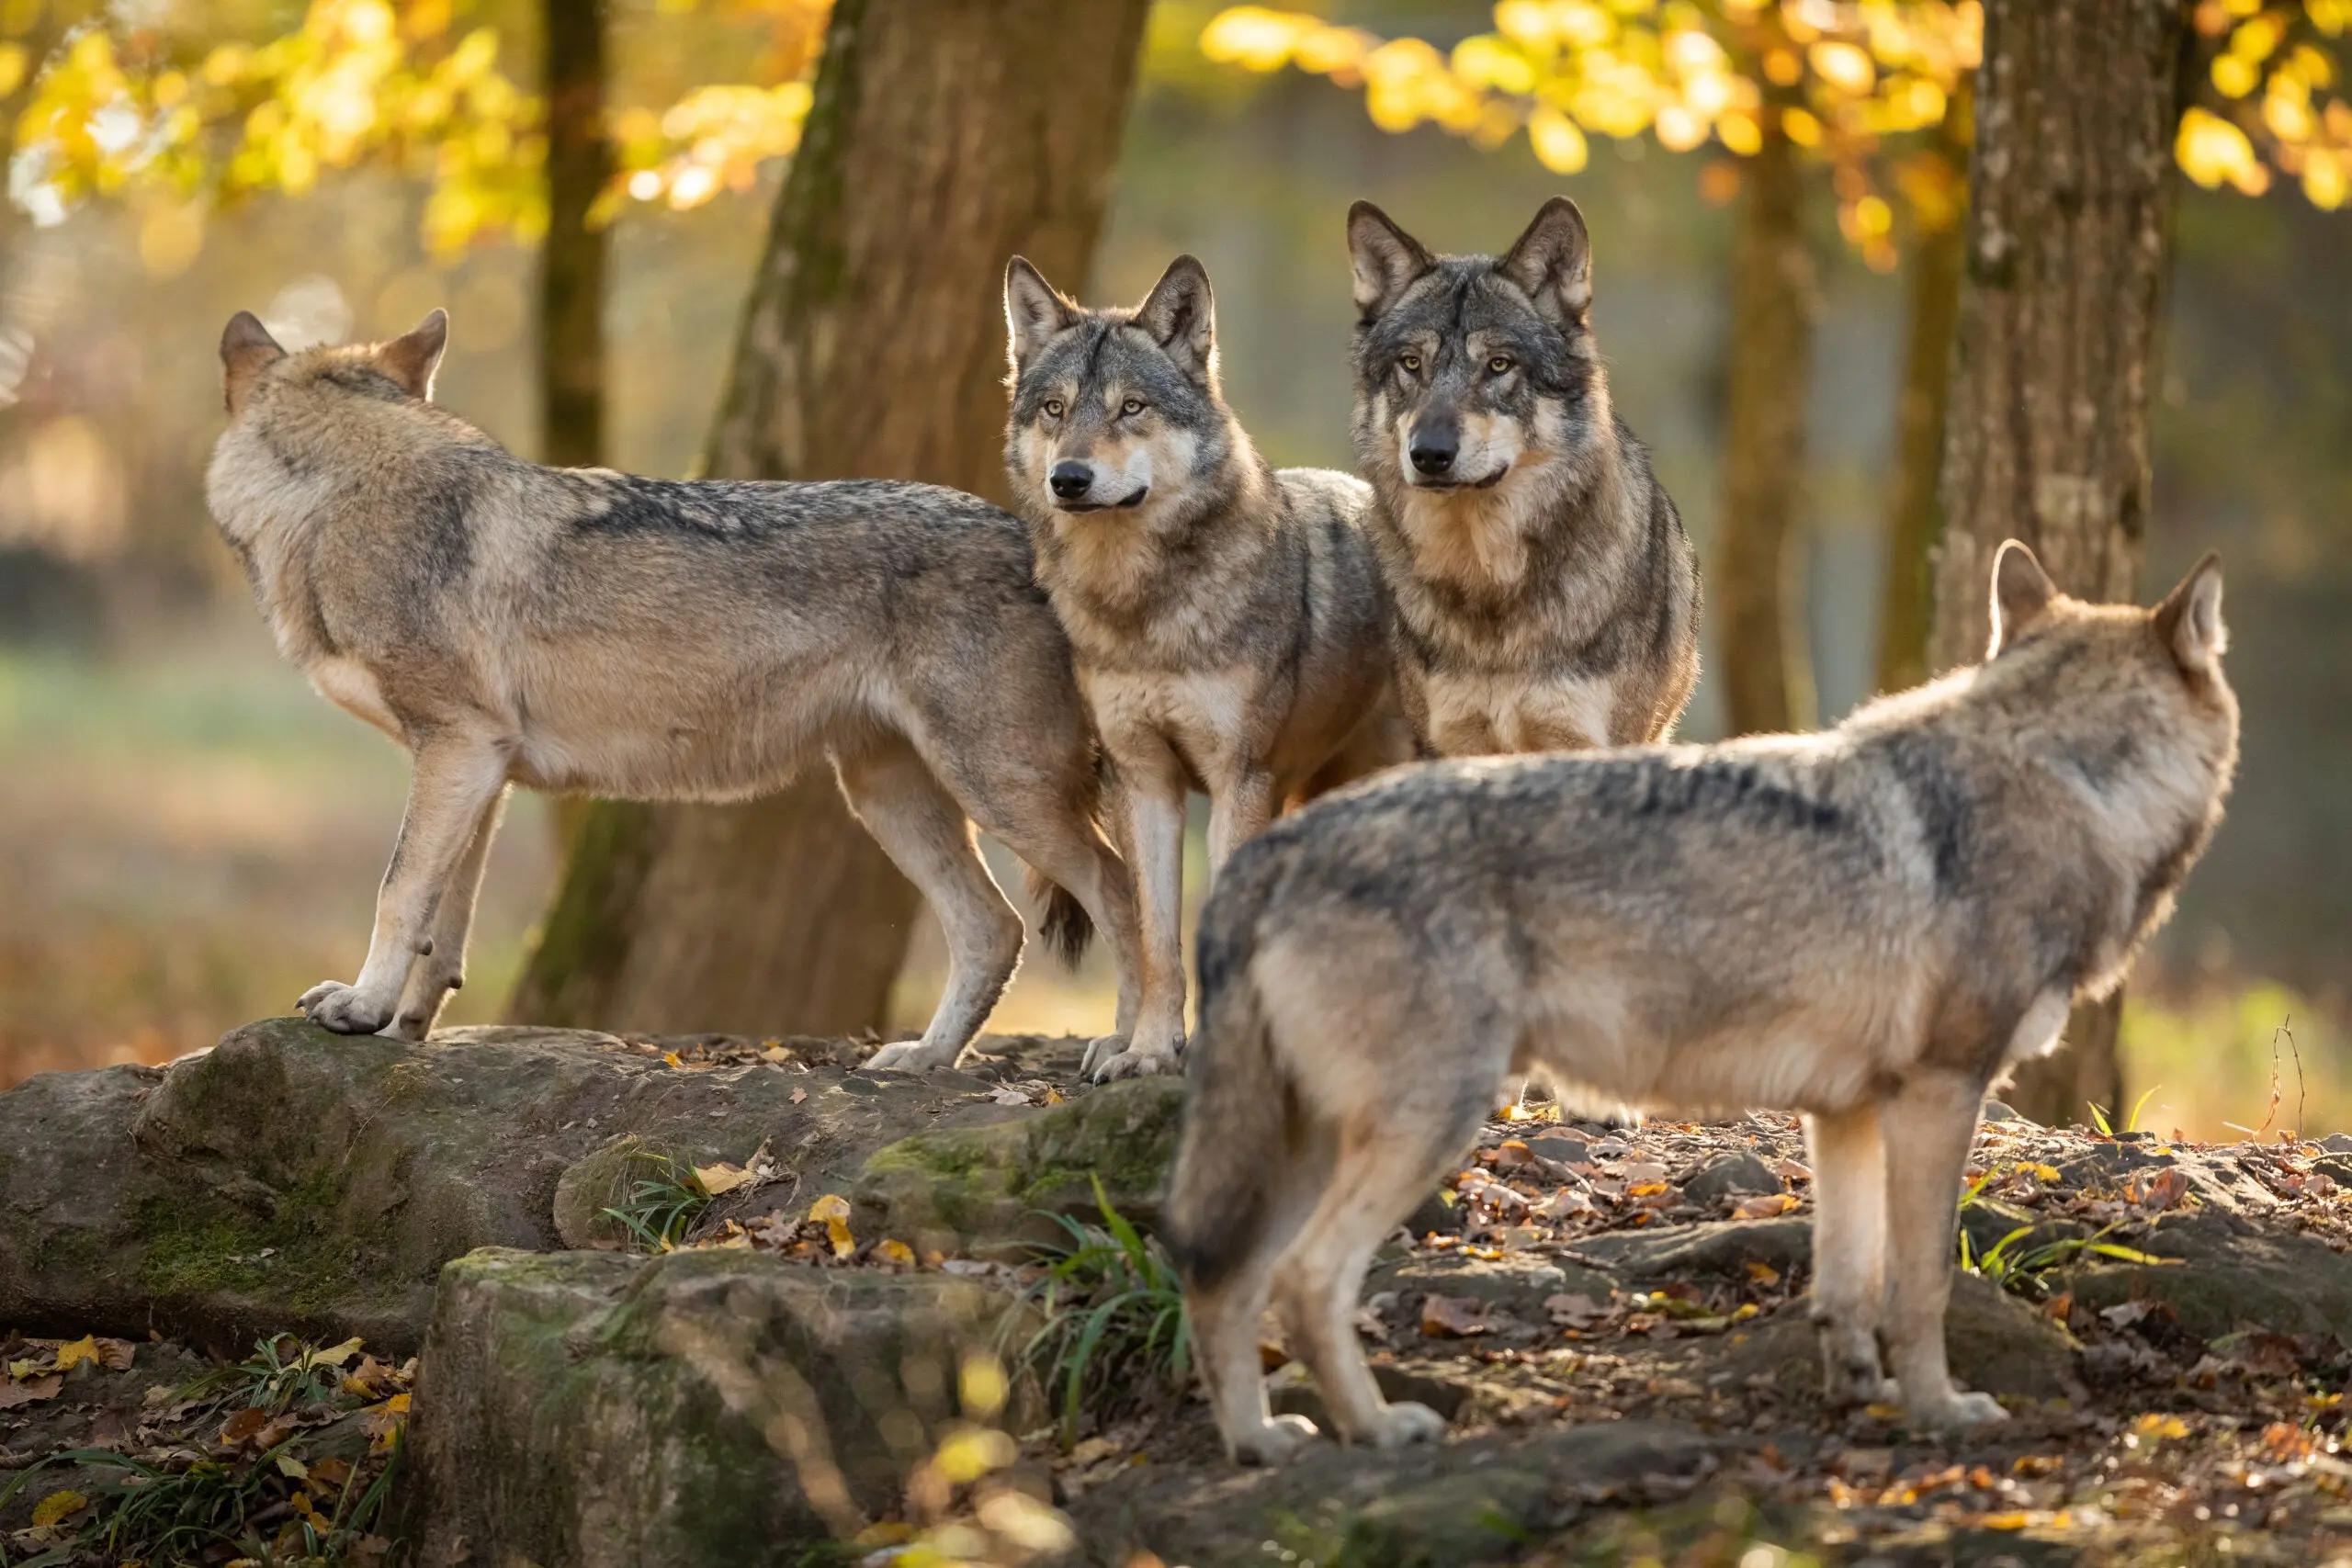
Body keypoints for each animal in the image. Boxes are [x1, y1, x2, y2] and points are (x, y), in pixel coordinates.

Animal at [207, 308, 1143, 1072]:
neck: (340, 497)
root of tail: (1039, 540)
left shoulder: (456, 748)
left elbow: (398, 890)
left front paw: (362, 1008)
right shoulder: (481, 769)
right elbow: (446, 924)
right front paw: (406, 1026)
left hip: (998, 791)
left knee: (1120, 890)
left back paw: (1132, 1052)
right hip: (890, 797)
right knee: (995, 928)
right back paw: (925, 1059)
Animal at [997, 257, 1401, 1086]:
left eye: (1131, 408)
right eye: (1055, 409)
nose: (1069, 478)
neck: (1145, 609)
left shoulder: (1236, 778)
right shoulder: (1142, 779)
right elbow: (1157, 939)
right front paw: (1150, 1049)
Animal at [1176, 545, 2239, 1466]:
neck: (2066, 780)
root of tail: (1272, 853)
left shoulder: (1848, 1113)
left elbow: (1848, 1282)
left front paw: (1860, 1393)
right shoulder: (1940, 1094)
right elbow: (1923, 1283)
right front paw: (1942, 1410)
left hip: (1308, 1145)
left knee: (1223, 1281)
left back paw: (1259, 1442)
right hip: (1422, 1125)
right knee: (1305, 1281)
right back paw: (1378, 1429)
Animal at [1354, 196, 1702, 761]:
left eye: (1499, 365)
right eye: (1411, 363)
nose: (1429, 454)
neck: (1489, 583)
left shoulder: (1585, 742)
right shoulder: (1448, 745)